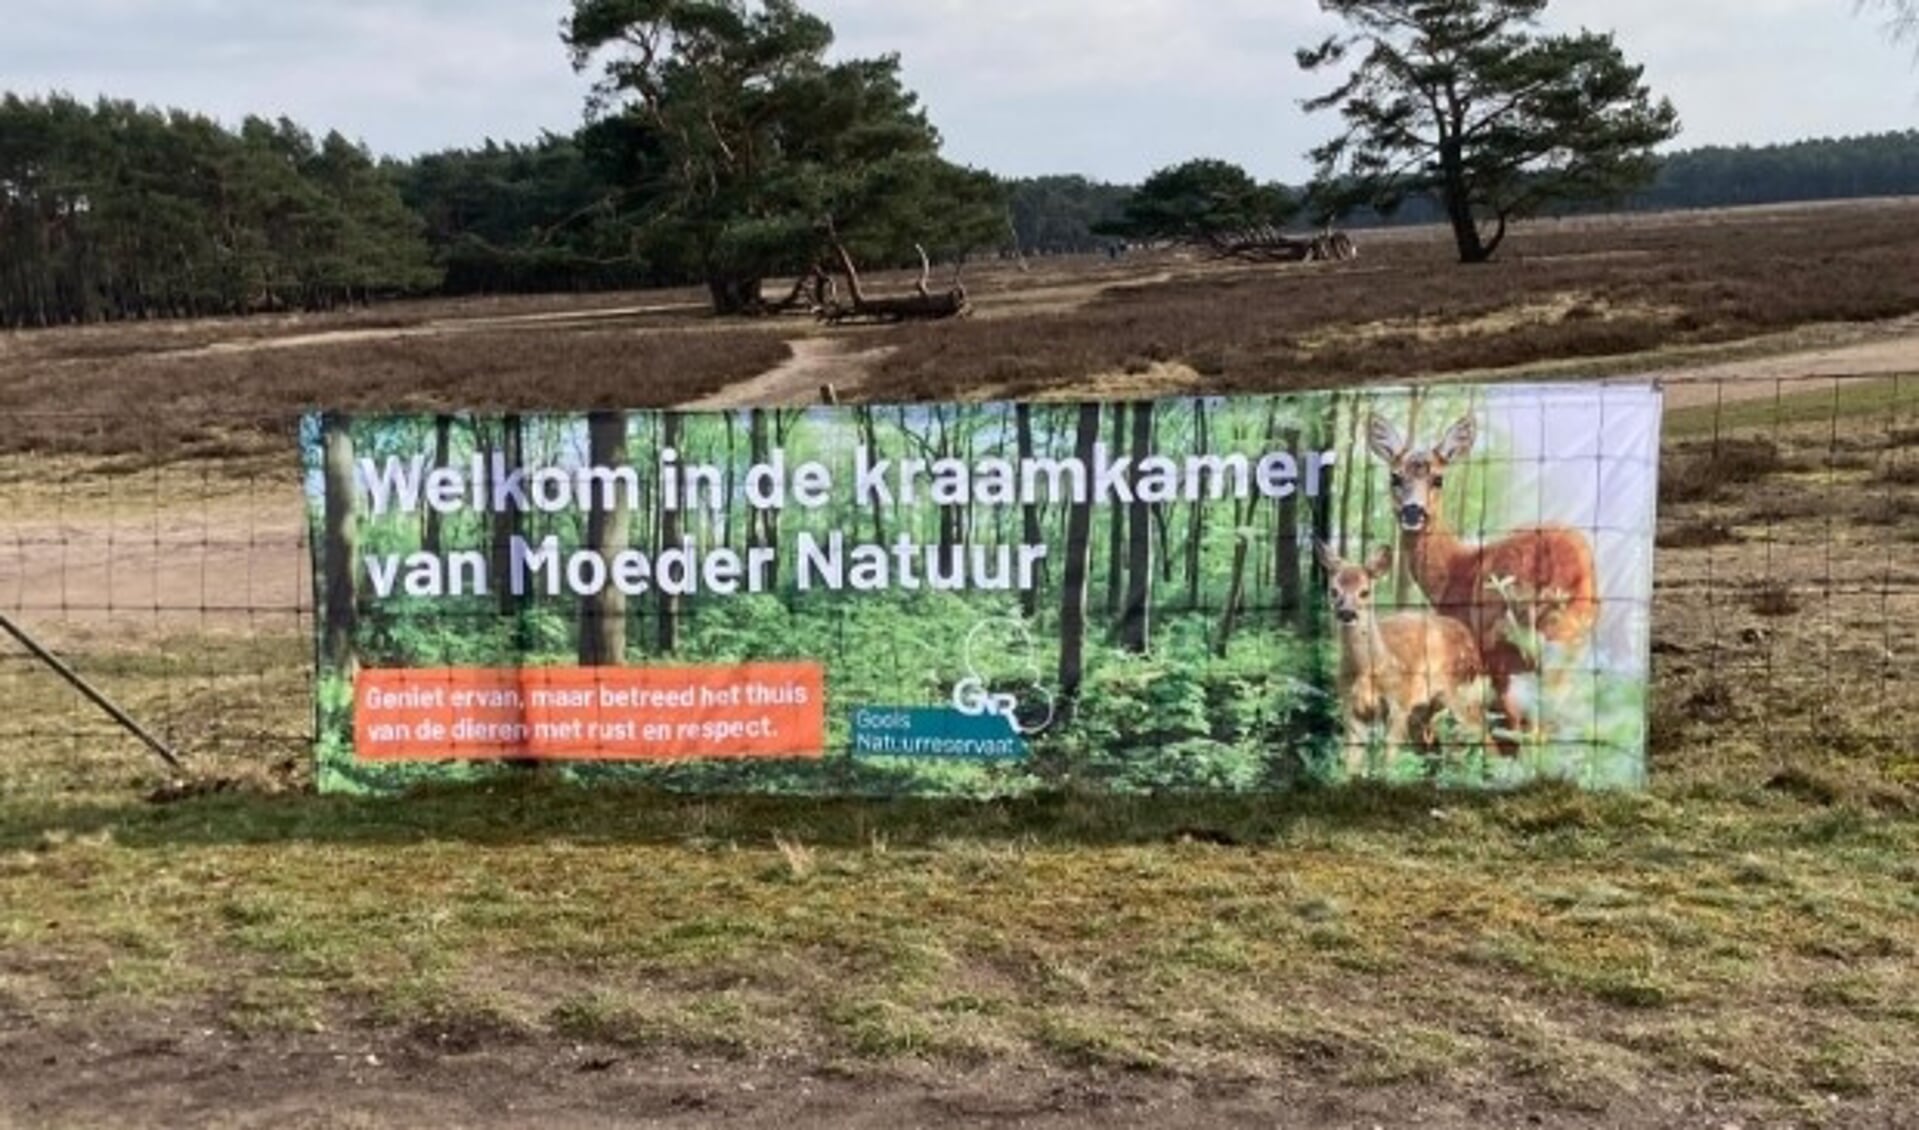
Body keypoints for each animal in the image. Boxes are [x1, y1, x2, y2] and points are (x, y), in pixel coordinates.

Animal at [1374, 410, 1596, 752]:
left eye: (1438, 478)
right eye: (1394, 477)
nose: (1413, 511)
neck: (1454, 572)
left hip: (1515, 636)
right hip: (1572, 641)